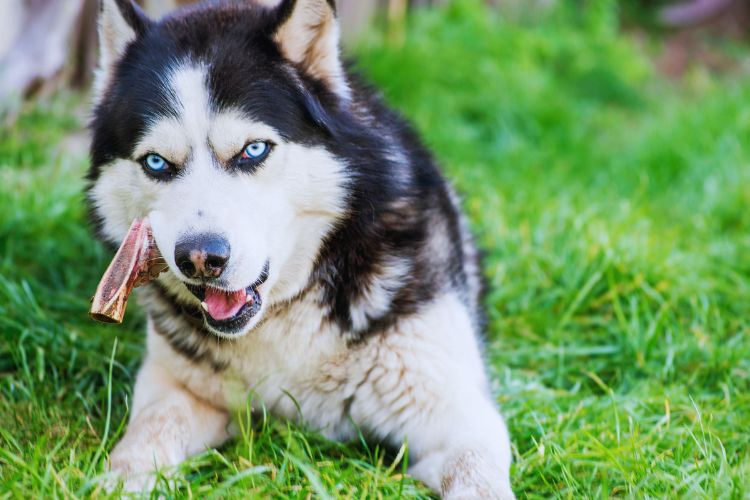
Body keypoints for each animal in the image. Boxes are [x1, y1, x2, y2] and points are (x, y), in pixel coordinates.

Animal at [85, 0, 516, 494]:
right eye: (156, 163)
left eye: (253, 150)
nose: (200, 258)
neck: (284, 317)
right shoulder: (178, 386)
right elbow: (150, 429)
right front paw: (119, 482)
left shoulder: (455, 411)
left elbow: (475, 473)